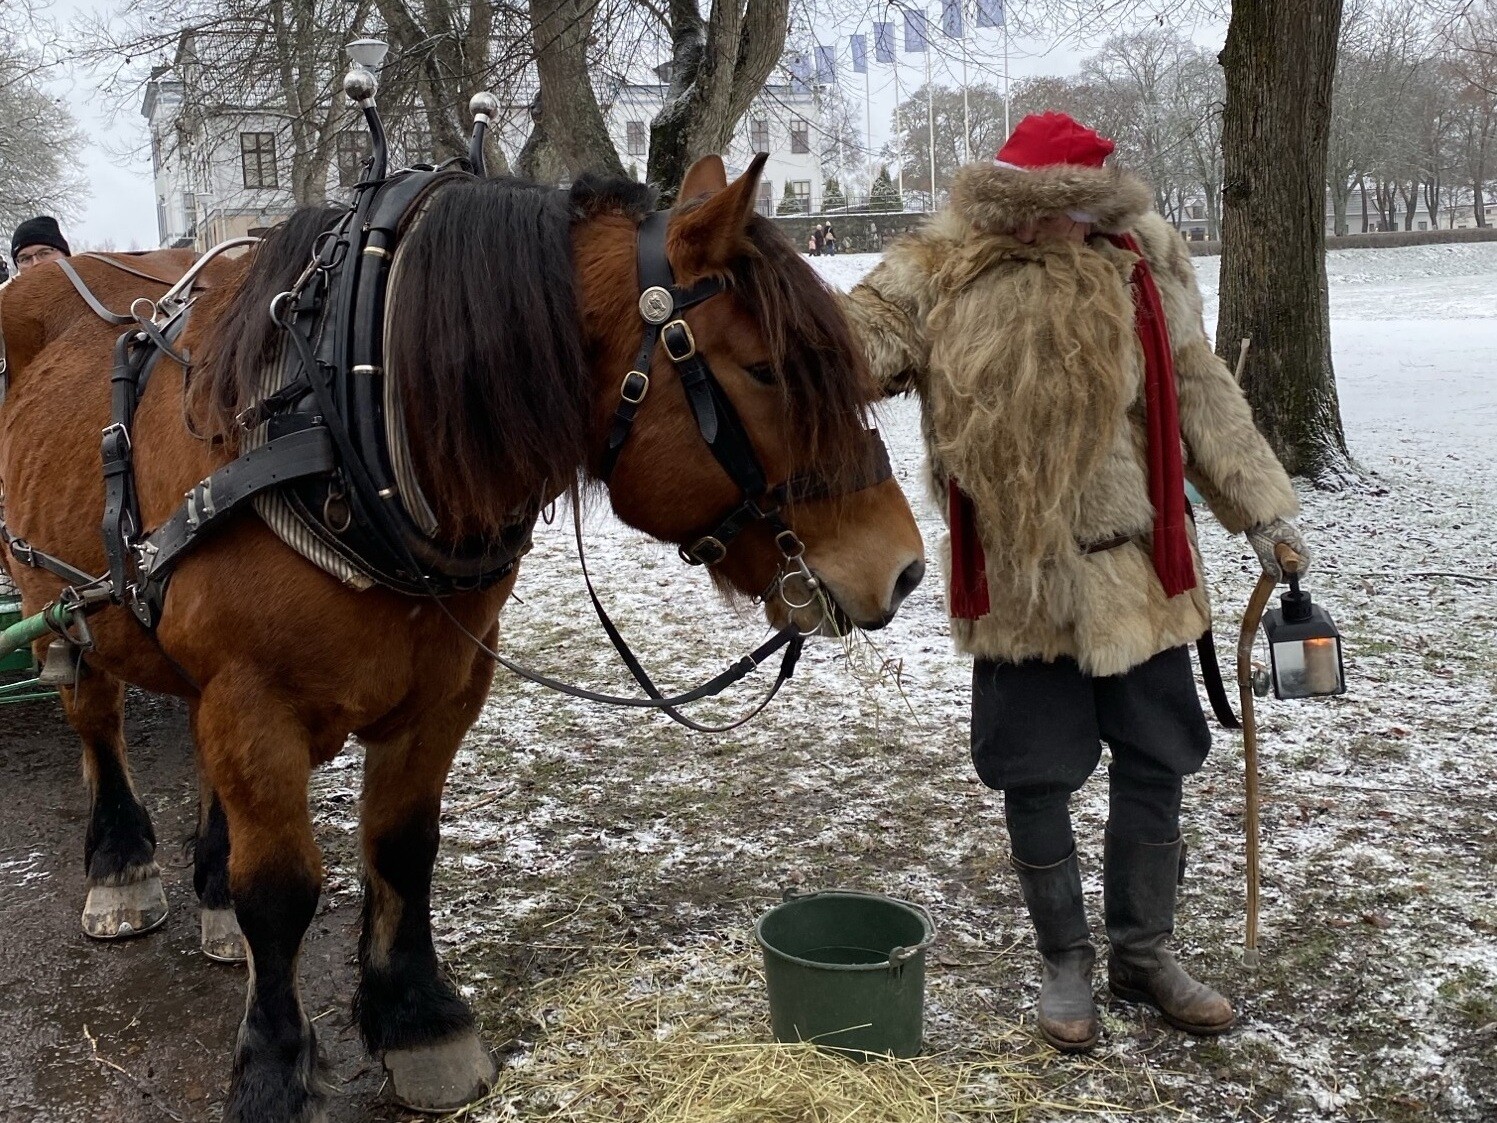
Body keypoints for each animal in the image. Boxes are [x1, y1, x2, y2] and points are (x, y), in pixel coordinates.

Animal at [0, 154, 922, 1120]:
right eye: (764, 367)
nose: (901, 567)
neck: (345, 422)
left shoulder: (440, 691)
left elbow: (403, 849)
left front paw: (417, 1018)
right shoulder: (252, 700)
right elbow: (281, 888)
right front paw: (272, 1065)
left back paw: (211, 890)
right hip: (62, 607)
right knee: (97, 722)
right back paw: (120, 866)